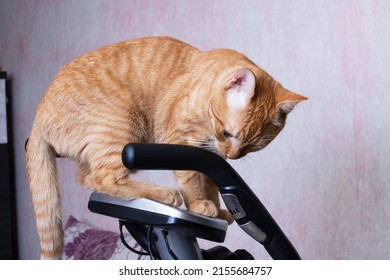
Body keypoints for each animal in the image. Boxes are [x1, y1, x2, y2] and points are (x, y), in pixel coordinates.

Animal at [25, 36, 308, 260]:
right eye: (228, 133)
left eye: (250, 147)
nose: (231, 155)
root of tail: (37, 117)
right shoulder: (181, 140)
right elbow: (191, 179)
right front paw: (199, 205)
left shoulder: (208, 155)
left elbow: (209, 182)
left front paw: (215, 209)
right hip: (121, 120)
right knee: (106, 178)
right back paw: (163, 194)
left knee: (88, 177)